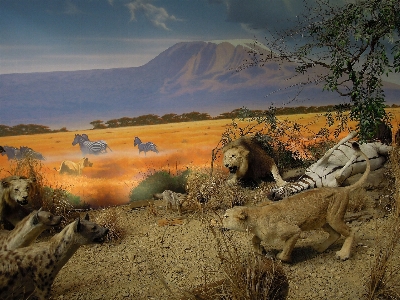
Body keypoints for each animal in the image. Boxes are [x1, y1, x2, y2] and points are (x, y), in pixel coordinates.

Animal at [222, 142, 368, 262]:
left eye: (226, 216)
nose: (220, 224)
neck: (255, 219)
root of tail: (342, 189)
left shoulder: (294, 231)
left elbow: (287, 248)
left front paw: (282, 257)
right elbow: (254, 239)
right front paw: (260, 250)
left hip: (334, 217)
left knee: (350, 231)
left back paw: (343, 254)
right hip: (322, 221)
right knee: (335, 234)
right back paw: (319, 248)